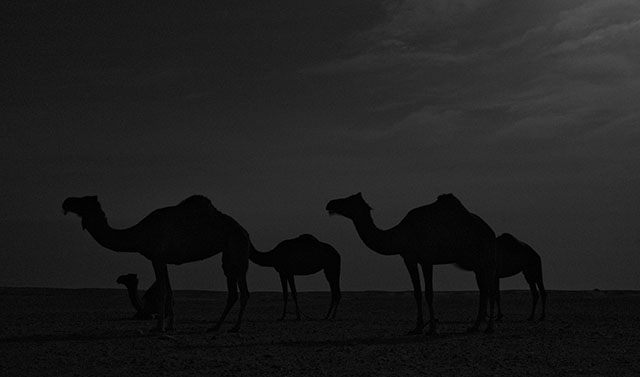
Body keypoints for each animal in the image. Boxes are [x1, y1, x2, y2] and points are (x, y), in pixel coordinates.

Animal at [62, 195, 251, 330]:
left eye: (83, 201)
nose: (66, 202)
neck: (140, 233)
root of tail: (244, 230)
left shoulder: (156, 257)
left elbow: (162, 291)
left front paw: (158, 328)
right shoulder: (163, 260)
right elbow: (169, 290)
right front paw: (170, 326)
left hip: (237, 246)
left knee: (242, 288)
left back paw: (234, 327)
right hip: (230, 251)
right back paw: (221, 327)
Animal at [324, 192, 500, 334]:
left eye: (348, 200)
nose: (330, 203)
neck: (401, 235)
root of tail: (490, 231)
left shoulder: (427, 260)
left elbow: (429, 293)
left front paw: (432, 329)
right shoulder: (409, 259)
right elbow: (417, 293)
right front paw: (417, 328)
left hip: (487, 259)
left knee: (490, 289)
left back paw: (490, 328)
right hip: (477, 264)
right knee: (484, 289)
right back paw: (474, 327)